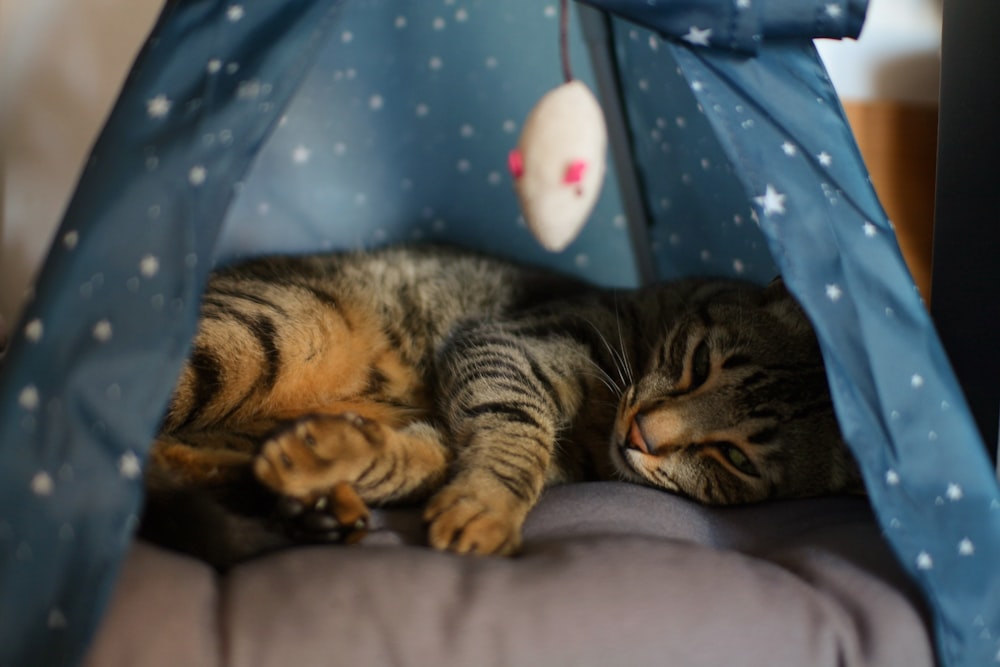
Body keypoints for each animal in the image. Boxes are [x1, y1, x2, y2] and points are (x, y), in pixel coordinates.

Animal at [143, 245, 868, 568]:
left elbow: (412, 457)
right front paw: (488, 508)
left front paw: (334, 453)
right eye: (698, 363)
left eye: (733, 457)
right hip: (270, 333)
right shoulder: (508, 345)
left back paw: (311, 506)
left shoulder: (456, 428)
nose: (643, 432)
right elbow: (517, 434)